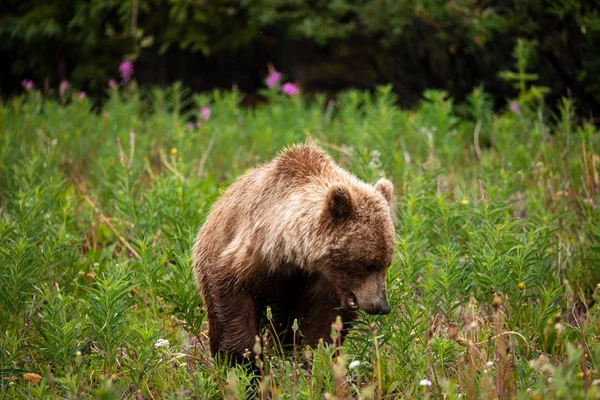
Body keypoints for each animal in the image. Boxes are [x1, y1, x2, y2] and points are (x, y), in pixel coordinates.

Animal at [192, 143, 396, 362]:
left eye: (387, 263)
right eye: (368, 263)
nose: (382, 306)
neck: (294, 256)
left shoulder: (322, 282)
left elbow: (324, 323)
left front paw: (318, 357)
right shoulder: (250, 257)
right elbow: (233, 300)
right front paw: (243, 359)